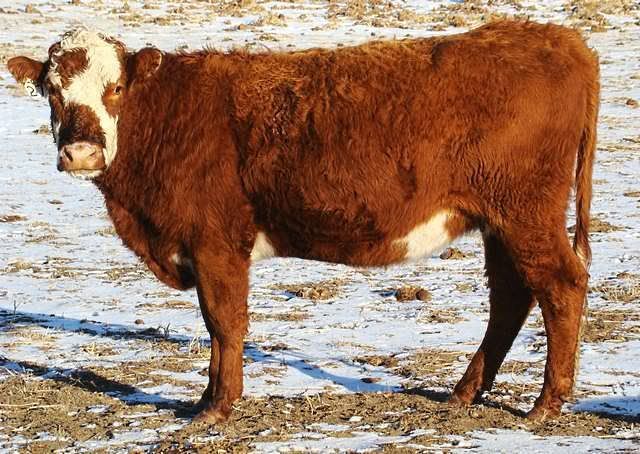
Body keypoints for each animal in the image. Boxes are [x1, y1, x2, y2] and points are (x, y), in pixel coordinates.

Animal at [6, 20, 599, 423]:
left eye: (116, 89)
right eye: (52, 91)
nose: (81, 152)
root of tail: (557, 38)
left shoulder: (216, 243)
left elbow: (224, 322)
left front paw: (216, 407)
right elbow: (219, 326)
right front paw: (207, 399)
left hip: (525, 215)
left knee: (561, 286)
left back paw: (546, 404)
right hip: (500, 222)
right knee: (512, 298)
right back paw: (465, 392)